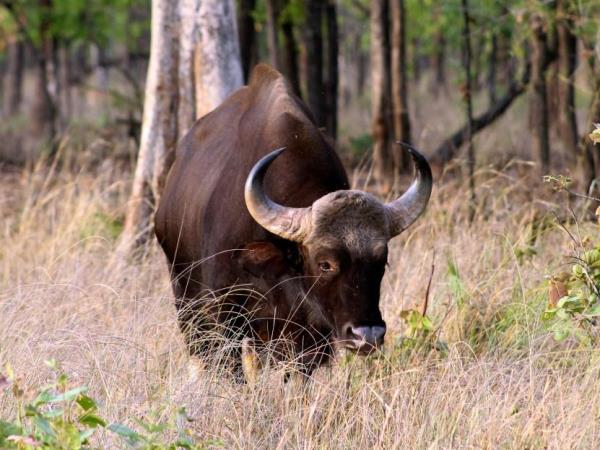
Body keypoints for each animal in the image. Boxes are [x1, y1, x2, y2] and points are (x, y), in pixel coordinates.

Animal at [155, 64, 432, 376]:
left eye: (381, 261)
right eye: (325, 264)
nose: (367, 335)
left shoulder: (311, 337)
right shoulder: (223, 316)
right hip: (185, 299)